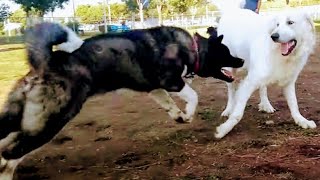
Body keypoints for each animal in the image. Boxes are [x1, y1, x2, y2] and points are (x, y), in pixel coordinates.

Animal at [0, 22, 242, 179]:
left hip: (17, 117)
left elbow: (169, 104)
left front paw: (179, 116)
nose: (241, 60)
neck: (190, 47)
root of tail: (47, 62)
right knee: (11, 154)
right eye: (226, 52)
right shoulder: (171, 82)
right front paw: (189, 113)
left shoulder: (154, 88)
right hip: (50, 121)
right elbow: (193, 95)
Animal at [214, 5, 316, 139]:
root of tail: (233, 10)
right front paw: (224, 129)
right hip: (230, 70)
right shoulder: (249, 82)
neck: (281, 55)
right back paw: (228, 109)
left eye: (290, 22)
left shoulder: (288, 82)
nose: (274, 36)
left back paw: (266, 105)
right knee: (231, 91)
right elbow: (237, 114)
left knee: (262, 88)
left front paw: (301, 120)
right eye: (277, 24)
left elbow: (294, 104)